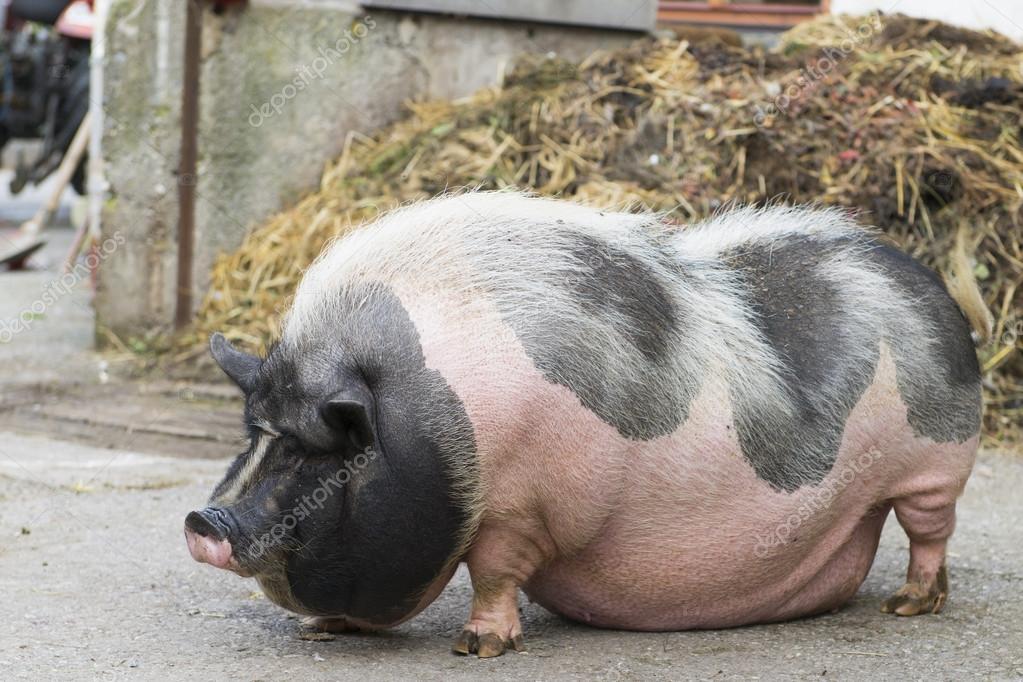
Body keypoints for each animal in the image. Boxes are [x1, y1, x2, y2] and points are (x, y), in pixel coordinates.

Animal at [185, 192, 989, 658]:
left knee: (930, 532)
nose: (201, 520)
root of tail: (921, 277)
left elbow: (493, 570)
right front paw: (320, 628)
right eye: (254, 431)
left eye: (312, 451)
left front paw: (477, 648)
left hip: (936, 464)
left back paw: (909, 605)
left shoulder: (519, 504)